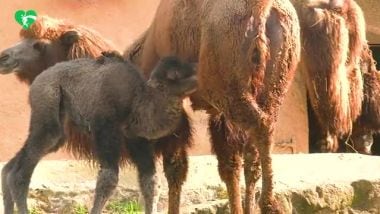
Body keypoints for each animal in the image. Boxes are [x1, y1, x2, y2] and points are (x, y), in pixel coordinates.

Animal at [2, 52, 197, 214]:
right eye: (175, 74)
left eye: (188, 66)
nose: (197, 75)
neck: (136, 103)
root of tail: (37, 79)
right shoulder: (105, 128)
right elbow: (109, 178)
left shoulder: (136, 139)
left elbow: (151, 181)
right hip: (47, 99)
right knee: (22, 170)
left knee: (14, 165)